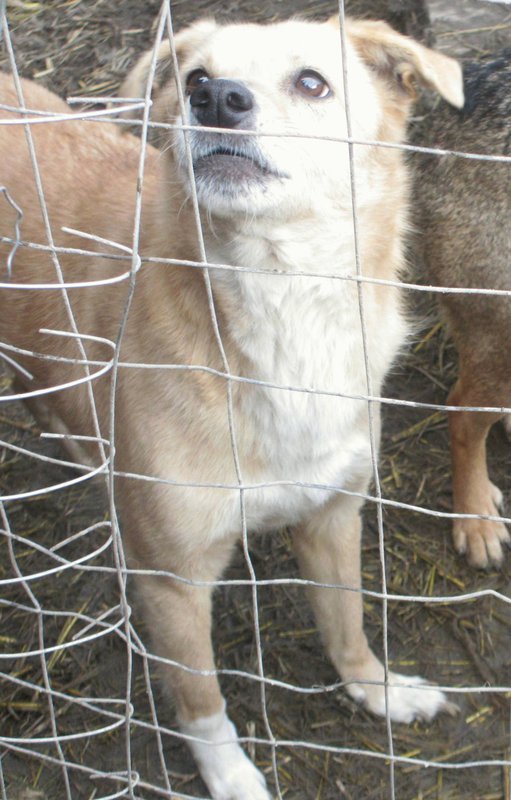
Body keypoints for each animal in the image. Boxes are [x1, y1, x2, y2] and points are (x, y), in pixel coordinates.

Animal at [0, 17, 464, 800]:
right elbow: (201, 700)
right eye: (193, 78)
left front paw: (377, 689)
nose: (216, 99)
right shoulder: (171, 579)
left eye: (311, 81)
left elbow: (348, 623)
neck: (283, 313)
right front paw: (231, 776)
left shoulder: (334, 512)